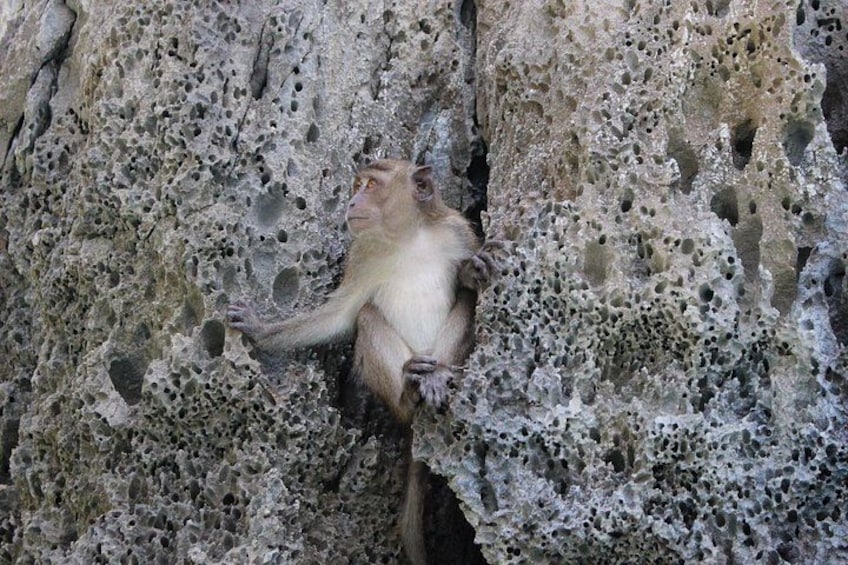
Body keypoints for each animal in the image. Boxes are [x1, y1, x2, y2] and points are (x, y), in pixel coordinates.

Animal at [227, 159, 498, 565]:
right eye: (357, 186)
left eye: (371, 185)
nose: (352, 201)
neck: (407, 238)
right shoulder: (362, 254)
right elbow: (338, 317)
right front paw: (260, 330)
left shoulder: (457, 231)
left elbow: (471, 292)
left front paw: (470, 272)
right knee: (368, 317)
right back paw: (408, 392)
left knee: (461, 309)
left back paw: (435, 378)